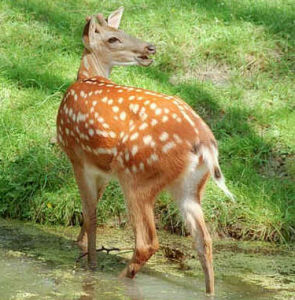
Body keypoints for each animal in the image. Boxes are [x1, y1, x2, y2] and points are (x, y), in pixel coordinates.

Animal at [56, 5, 235, 294]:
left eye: (121, 32)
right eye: (114, 38)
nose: (150, 48)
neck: (88, 77)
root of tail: (205, 144)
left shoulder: (76, 155)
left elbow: (91, 212)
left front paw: (90, 265)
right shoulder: (102, 167)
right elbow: (92, 209)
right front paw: (80, 245)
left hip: (138, 176)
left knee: (147, 242)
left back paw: (117, 279)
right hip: (190, 187)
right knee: (204, 241)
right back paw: (209, 291)